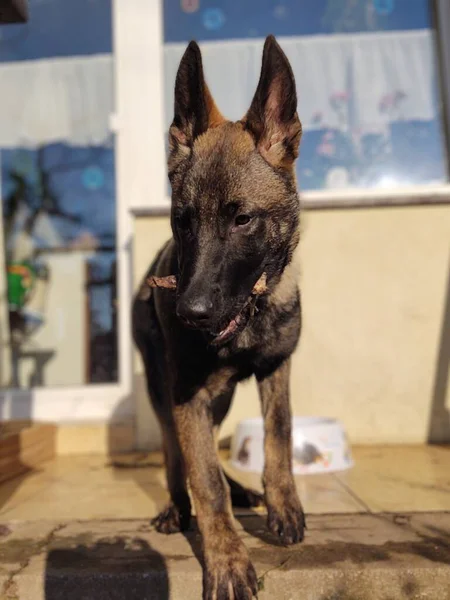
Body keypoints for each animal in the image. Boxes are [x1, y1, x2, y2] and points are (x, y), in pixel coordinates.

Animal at [132, 35, 304, 600]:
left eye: (243, 219)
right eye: (182, 221)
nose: (190, 313)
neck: (247, 318)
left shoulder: (277, 368)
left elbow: (280, 432)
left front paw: (283, 504)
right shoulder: (187, 394)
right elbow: (204, 476)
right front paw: (227, 559)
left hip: (222, 398)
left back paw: (245, 492)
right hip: (164, 390)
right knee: (175, 454)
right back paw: (176, 509)